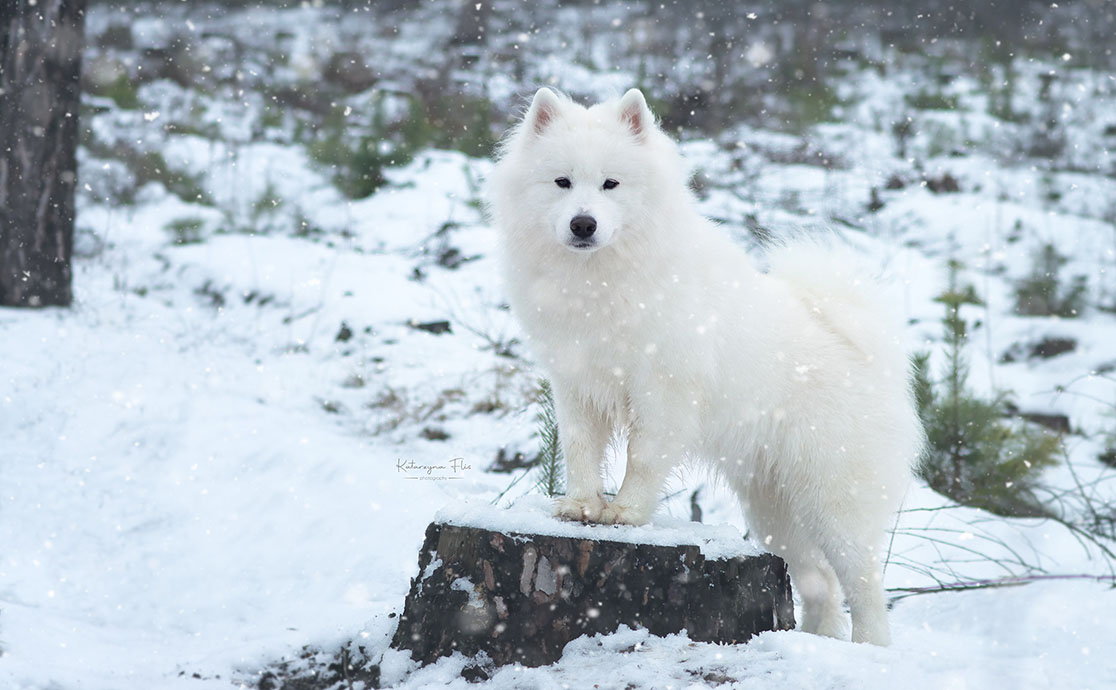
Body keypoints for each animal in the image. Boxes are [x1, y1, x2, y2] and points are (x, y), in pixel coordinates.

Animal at [493, 87, 919, 643]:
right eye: (562, 182)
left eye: (611, 184)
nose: (583, 223)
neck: (602, 280)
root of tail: (870, 356)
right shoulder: (577, 383)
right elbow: (582, 449)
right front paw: (580, 506)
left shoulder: (663, 387)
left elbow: (644, 457)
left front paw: (626, 513)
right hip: (774, 507)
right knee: (821, 584)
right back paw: (816, 642)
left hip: (834, 499)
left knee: (865, 586)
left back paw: (868, 647)